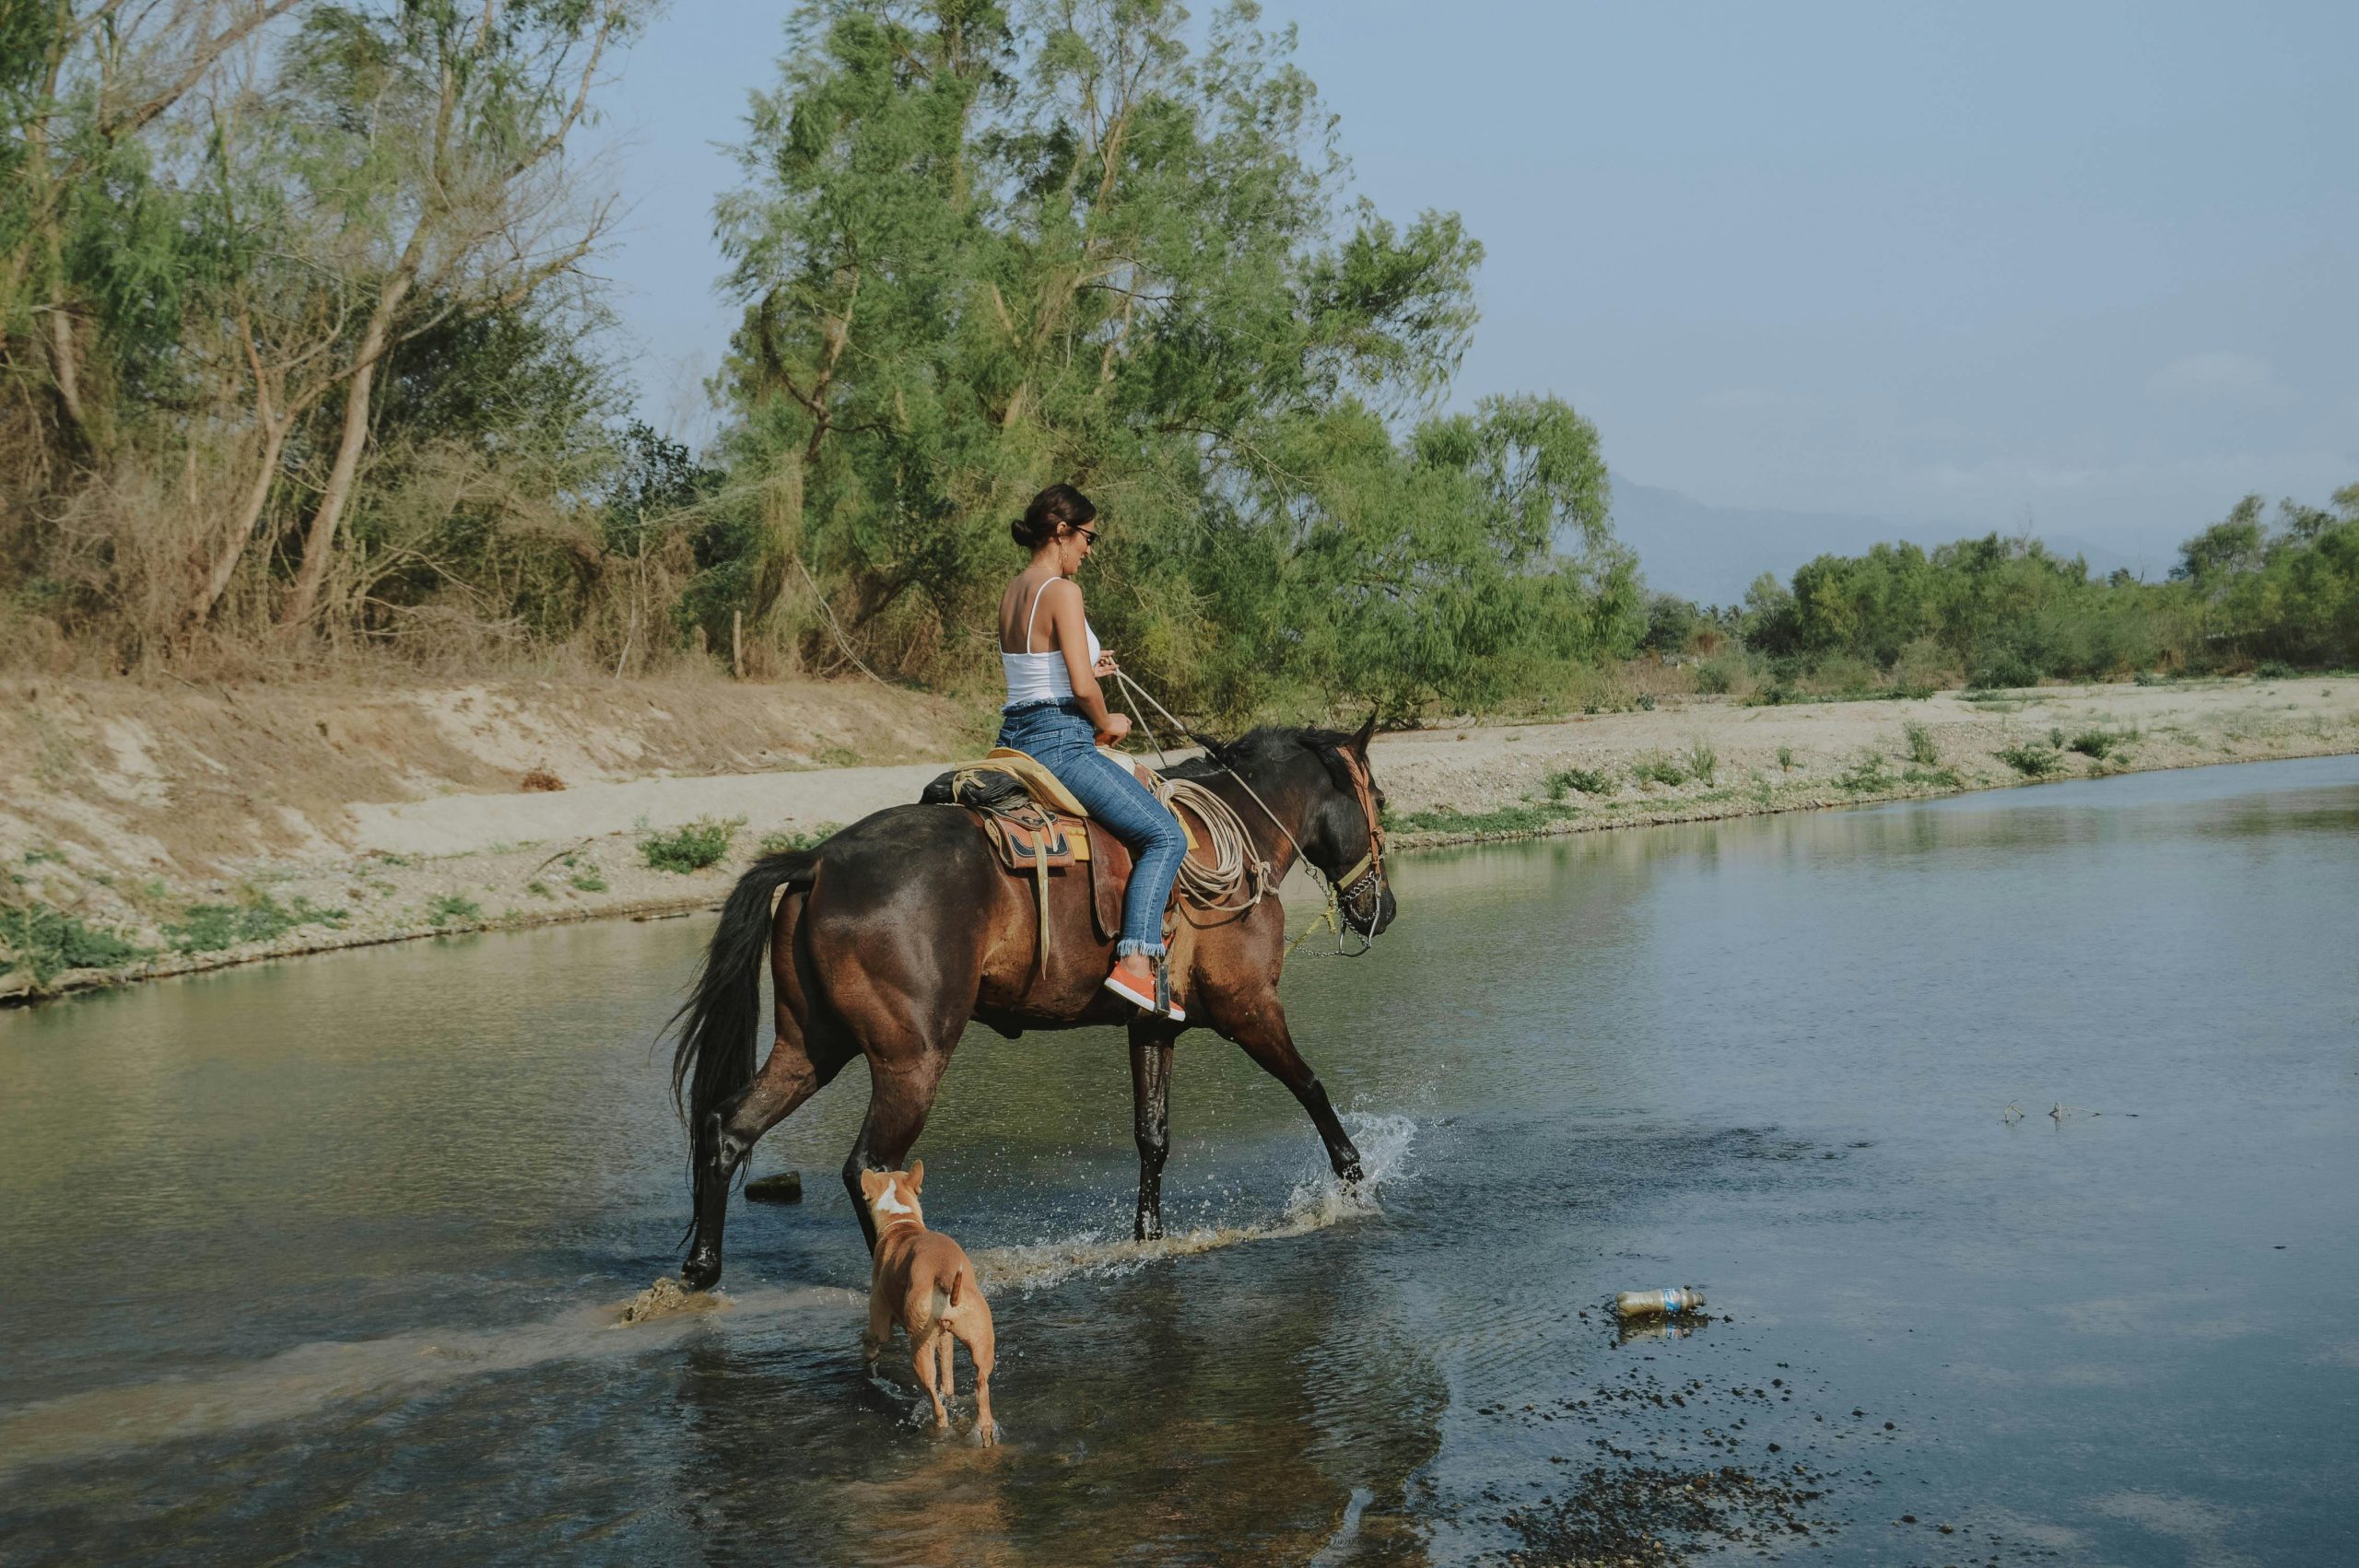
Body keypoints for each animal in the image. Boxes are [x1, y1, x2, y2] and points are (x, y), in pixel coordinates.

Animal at [667, 717, 1397, 1289]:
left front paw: (1150, 1234)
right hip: (911, 1062)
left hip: (811, 1046)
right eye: (1381, 799)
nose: (1382, 910)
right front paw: (1355, 1181)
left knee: (729, 1128)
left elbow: (1153, 1136)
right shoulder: (1248, 1008)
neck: (1239, 836)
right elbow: (1310, 1086)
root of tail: (819, 862)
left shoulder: (1155, 1025)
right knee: (866, 1168)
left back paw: (703, 1265)